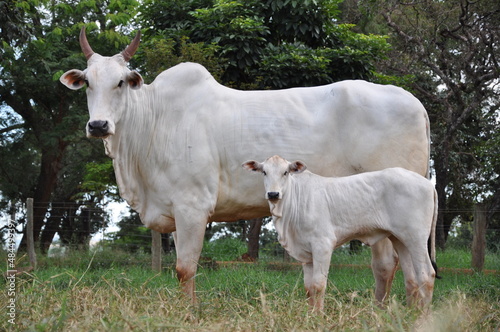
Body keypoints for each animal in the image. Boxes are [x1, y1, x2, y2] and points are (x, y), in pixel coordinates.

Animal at [243, 156, 438, 312]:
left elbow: (318, 285)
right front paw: (310, 315)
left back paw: (422, 316)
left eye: (285, 172)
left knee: (427, 275)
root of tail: (427, 184)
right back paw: (410, 314)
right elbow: (308, 288)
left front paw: (318, 316)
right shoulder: (307, 254)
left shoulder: (323, 245)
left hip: (416, 238)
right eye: (264, 172)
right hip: (399, 239)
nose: (273, 194)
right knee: (411, 279)